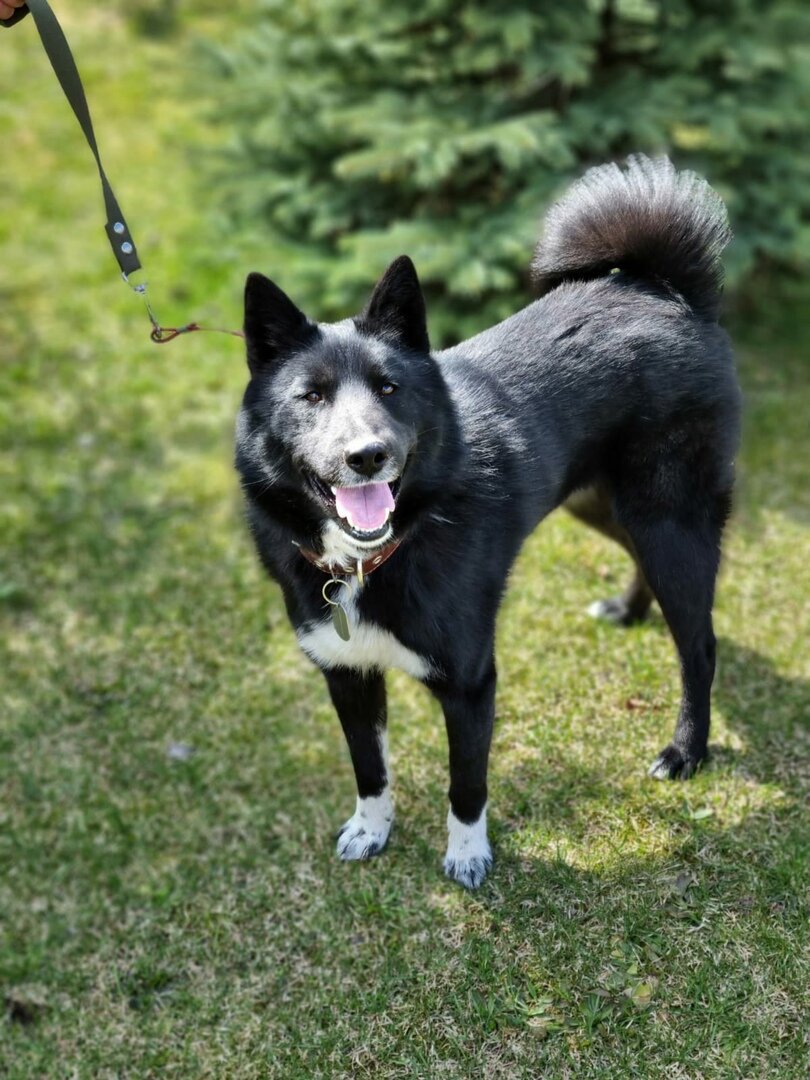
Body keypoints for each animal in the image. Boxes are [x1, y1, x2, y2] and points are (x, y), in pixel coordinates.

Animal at [233, 157, 743, 885]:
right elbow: (370, 768)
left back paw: (686, 750)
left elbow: (465, 783)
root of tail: (667, 292)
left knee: (699, 646)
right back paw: (627, 609)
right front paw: (372, 830)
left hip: (671, 518)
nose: (368, 455)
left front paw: (469, 856)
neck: (374, 557)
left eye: (389, 387)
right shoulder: (347, 674)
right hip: (602, 502)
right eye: (312, 395)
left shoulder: (472, 684)